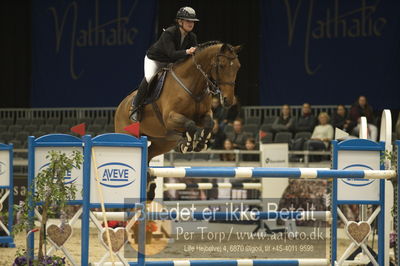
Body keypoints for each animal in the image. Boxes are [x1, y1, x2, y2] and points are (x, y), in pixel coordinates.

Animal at [114, 41, 242, 200]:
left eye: (237, 66)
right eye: (222, 65)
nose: (228, 101)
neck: (193, 84)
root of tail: (120, 106)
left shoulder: (204, 115)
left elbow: (209, 124)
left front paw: (201, 143)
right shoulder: (170, 117)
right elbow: (191, 125)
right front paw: (188, 143)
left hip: (163, 143)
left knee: (149, 154)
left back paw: (150, 188)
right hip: (129, 135)